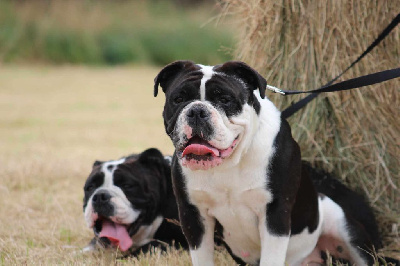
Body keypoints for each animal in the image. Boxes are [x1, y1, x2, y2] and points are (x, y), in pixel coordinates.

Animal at [153, 61, 396, 264]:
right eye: (179, 99)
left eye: (224, 99)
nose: (197, 110)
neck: (231, 162)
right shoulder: (194, 217)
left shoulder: (275, 216)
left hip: (343, 227)